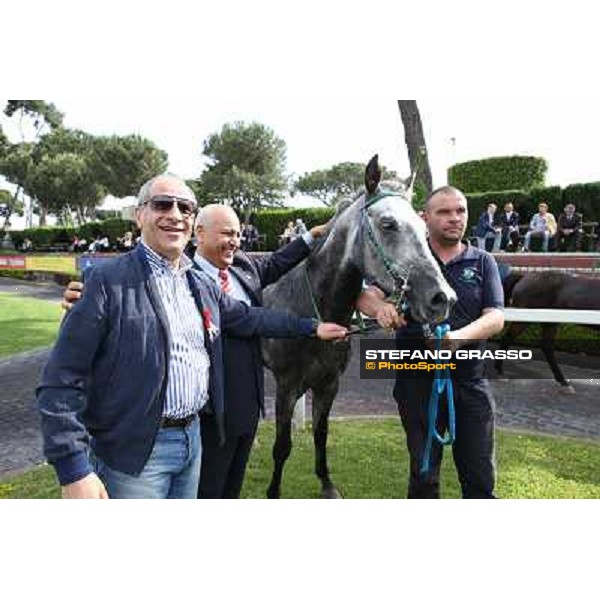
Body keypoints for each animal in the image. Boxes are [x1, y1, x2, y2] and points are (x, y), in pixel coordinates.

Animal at [262, 155, 454, 496]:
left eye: (423, 227)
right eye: (388, 224)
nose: (441, 298)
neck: (313, 314)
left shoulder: (328, 385)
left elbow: (321, 433)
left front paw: (326, 483)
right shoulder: (286, 387)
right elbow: (282, 445)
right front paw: (273, 492)